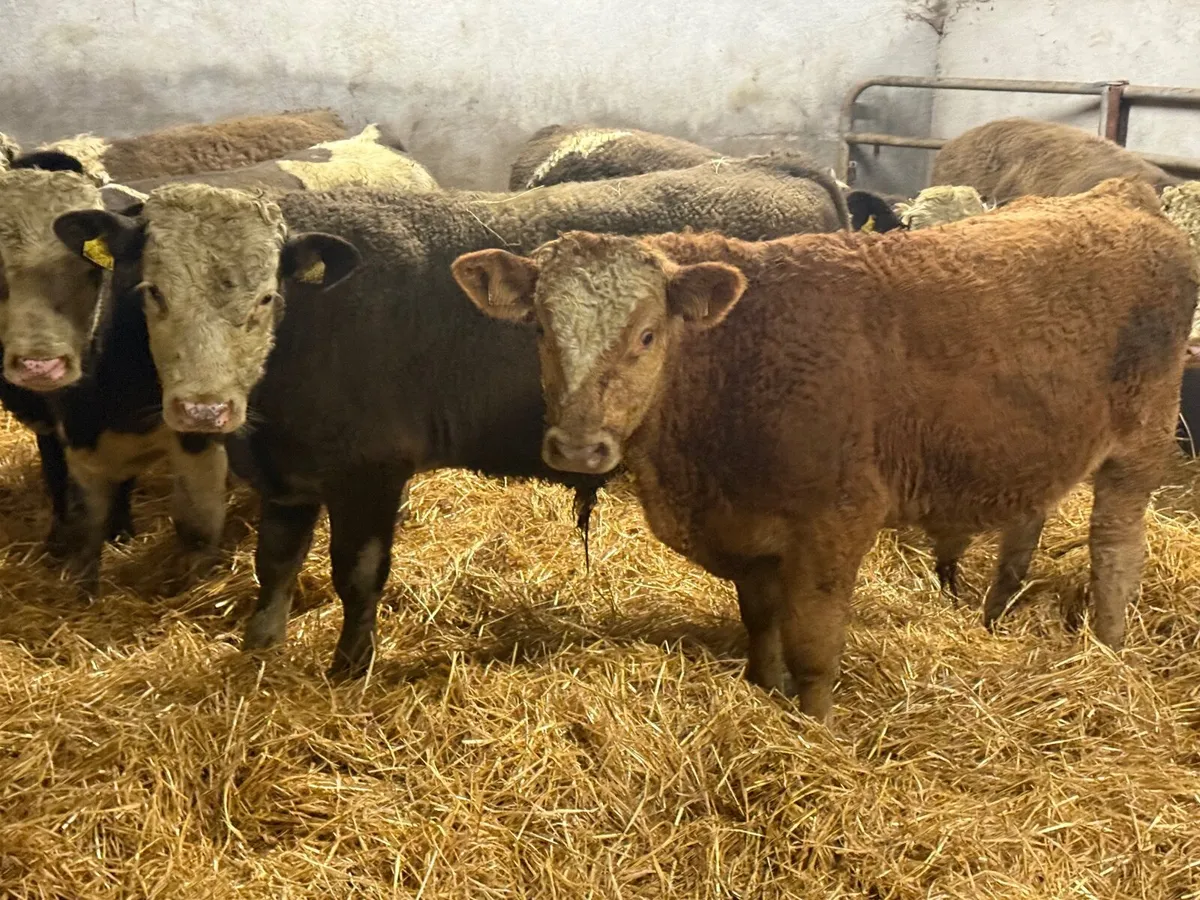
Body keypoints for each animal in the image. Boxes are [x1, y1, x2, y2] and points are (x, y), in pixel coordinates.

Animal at [54, 157, 861, 677]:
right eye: (151, 291)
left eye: (265, 298)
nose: (204, 407)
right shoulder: (288, 475)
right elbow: (275, 564)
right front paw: (259, 649)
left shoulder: (371, 469)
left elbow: (357, 575)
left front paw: (348, 669)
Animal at [452, 177, 1198, 721]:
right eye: (541, 329)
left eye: (646, 336)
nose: (578, 446)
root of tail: (1120, 193)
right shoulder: (749, 530)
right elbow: (761, 623)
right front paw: (764, 690)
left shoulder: (837, 521)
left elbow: (813, 641)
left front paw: (813, 729)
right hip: (1036, 440)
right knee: (1028, 524)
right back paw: (995, 618)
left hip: (1142, 441)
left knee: (1117, 549)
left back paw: (1107, 649)